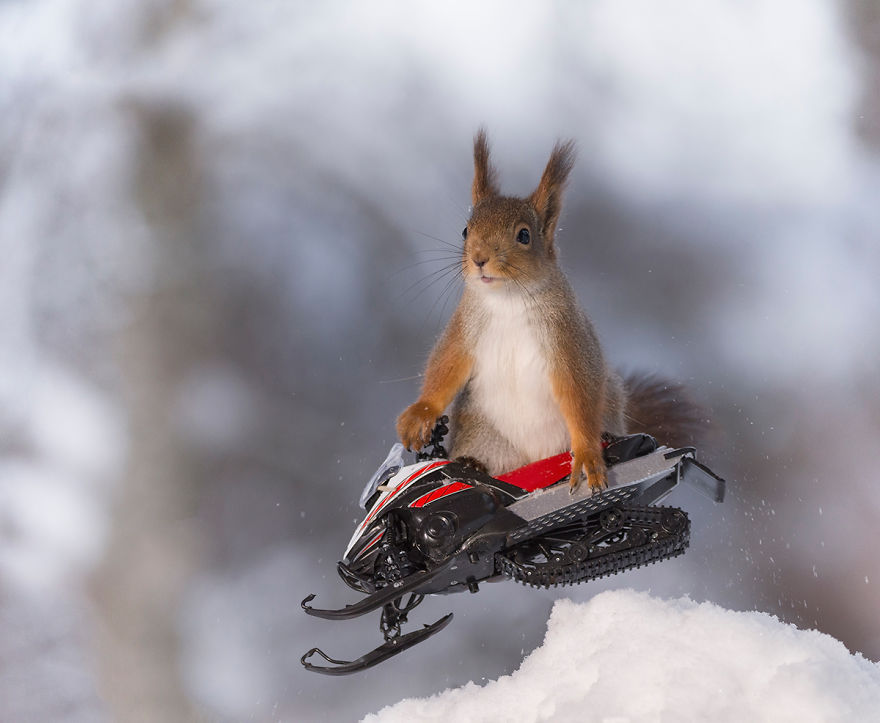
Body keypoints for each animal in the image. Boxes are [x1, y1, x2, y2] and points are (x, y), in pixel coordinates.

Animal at [396, 129, 703, 492]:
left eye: (524, 235)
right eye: (465, 230)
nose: (479, 258)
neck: (509, 299)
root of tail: (535, 460)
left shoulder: (565, 333)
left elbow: (578, 391)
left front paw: (586, 453)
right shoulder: (466, 324)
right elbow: (446, 364)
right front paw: (420, 414)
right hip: (487, 438)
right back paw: (472, 465)